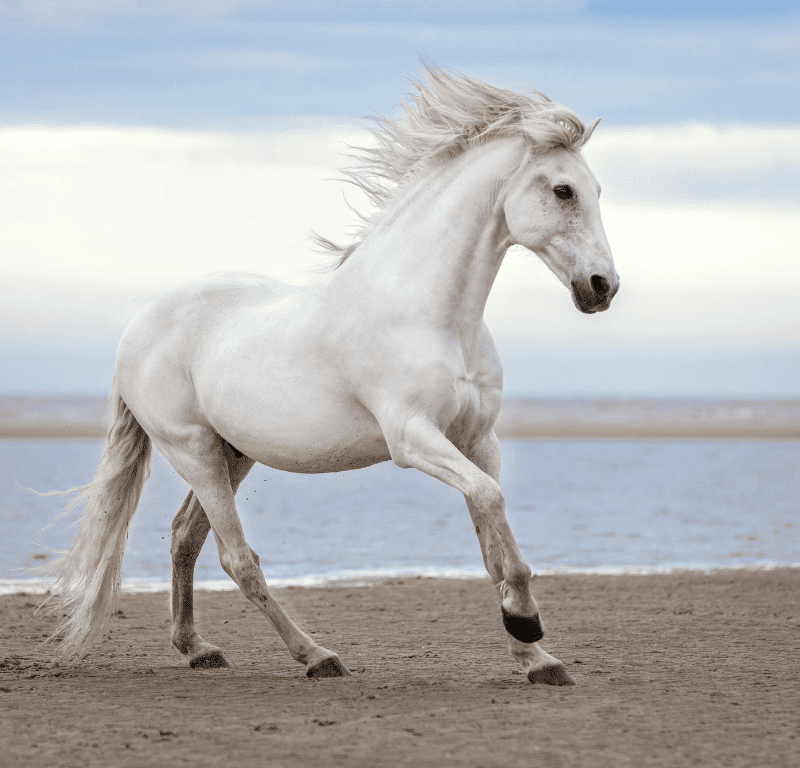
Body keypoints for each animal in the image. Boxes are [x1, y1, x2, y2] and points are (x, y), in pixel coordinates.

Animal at [39, 64, 620, 684]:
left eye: (597, 191)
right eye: (563, 190)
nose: (602, 287)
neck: (432, 315)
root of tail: (138, 327)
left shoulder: (478, 441)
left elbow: (493, 537)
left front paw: (537, 659)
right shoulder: (413, 439)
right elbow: (492, 503)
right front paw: (527, 624)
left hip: (232, 453)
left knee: (184, 538)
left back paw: (198, 648)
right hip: (191, 450)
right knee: (236, 558)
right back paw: (316, 655)